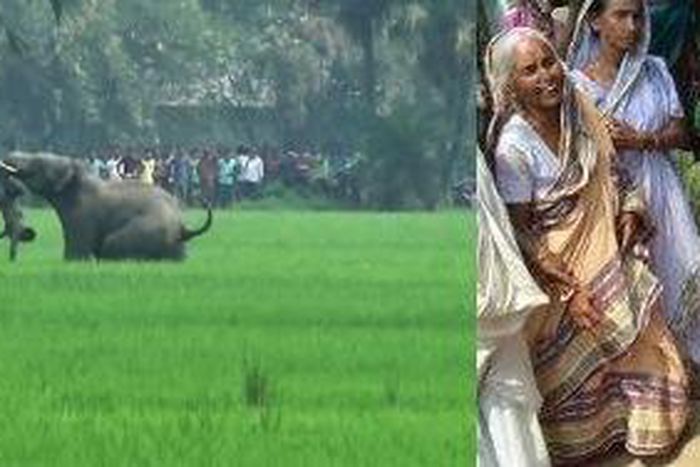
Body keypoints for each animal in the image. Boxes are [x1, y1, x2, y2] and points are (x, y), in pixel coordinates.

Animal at [0, 152, 212, 261]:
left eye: (38, 164)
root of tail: (183, 229)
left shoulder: (83, 214)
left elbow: (76, 252)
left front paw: (73, 261)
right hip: (177, 247)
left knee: (112, 243)